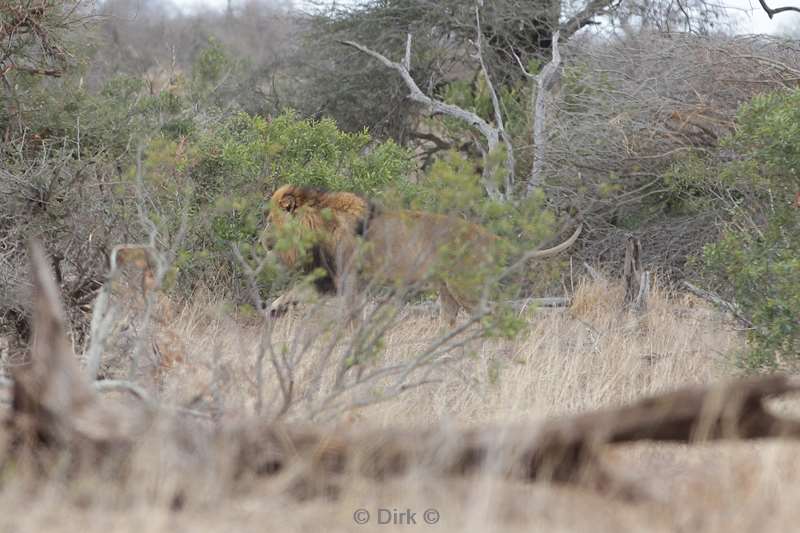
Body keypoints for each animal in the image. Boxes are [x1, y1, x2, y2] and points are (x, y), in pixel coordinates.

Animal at [262, 183, 580, 324]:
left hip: (466, 288)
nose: (262, 240)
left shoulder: (349, 280)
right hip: (448, 292)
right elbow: (295, 291)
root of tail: (487, 235)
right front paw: (274, 308)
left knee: (495, 315)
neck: (317, 226)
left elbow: (351, 318)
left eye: (269, 220)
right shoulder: (331, 279)